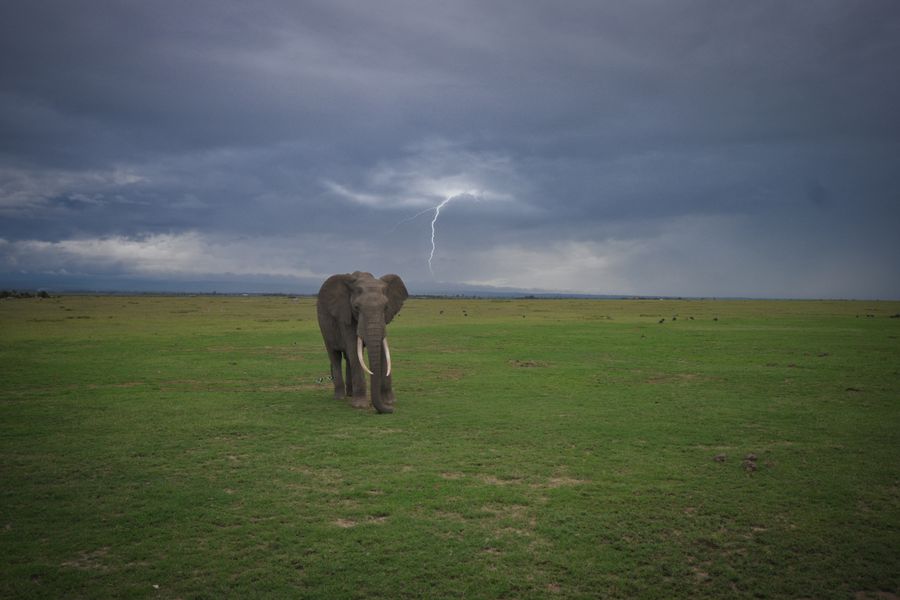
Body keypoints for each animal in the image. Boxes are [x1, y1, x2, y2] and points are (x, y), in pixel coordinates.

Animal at [316, 271, 409, 413]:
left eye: (386, 307)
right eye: (356, 308)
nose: (391, 410)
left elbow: (382, 351)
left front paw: (390, 401)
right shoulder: (345, 316)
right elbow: (354, 351)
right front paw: (360, 406)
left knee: (348, 358)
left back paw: (350, 394)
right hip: (324, 326)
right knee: (335, 356)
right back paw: (340, 397)